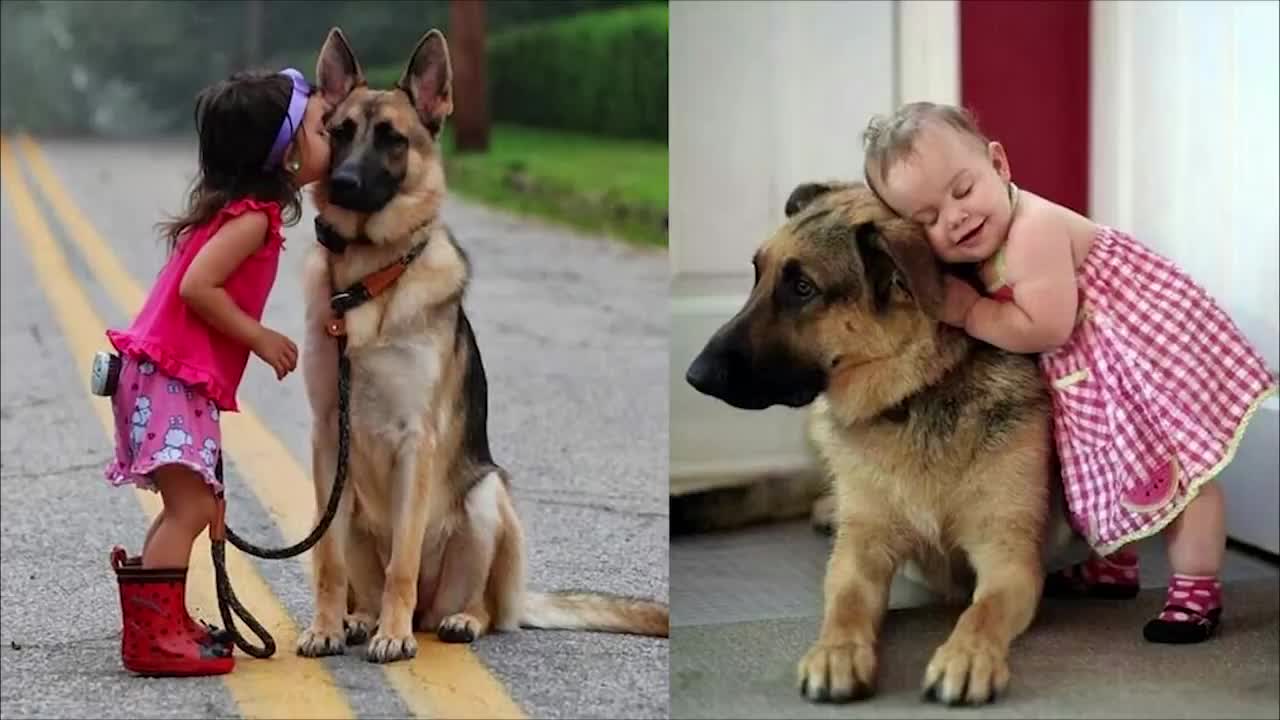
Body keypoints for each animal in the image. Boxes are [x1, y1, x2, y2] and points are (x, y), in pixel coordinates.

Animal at [293, 29, 665, 666]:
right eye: (339, 132)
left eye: (392, 139)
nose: (342, 184)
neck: (368, 278)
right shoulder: (325, 438)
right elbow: (327, 559)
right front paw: (327, 626)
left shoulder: (415, 440)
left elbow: (403, 561)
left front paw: (393, 636)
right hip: (358, 508)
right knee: (363, 578)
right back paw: (360, 619)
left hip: (487, 498)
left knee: (479, 609)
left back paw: (446, 620)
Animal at [691, 179, 1070, 702]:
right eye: (756, 274)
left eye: (803, 288)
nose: (694, 375)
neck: (915, 395)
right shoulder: (859, 552)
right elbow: (846, 604)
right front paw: (836, 653)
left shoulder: (1008, 558)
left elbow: (980, 612)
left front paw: (968, 655)